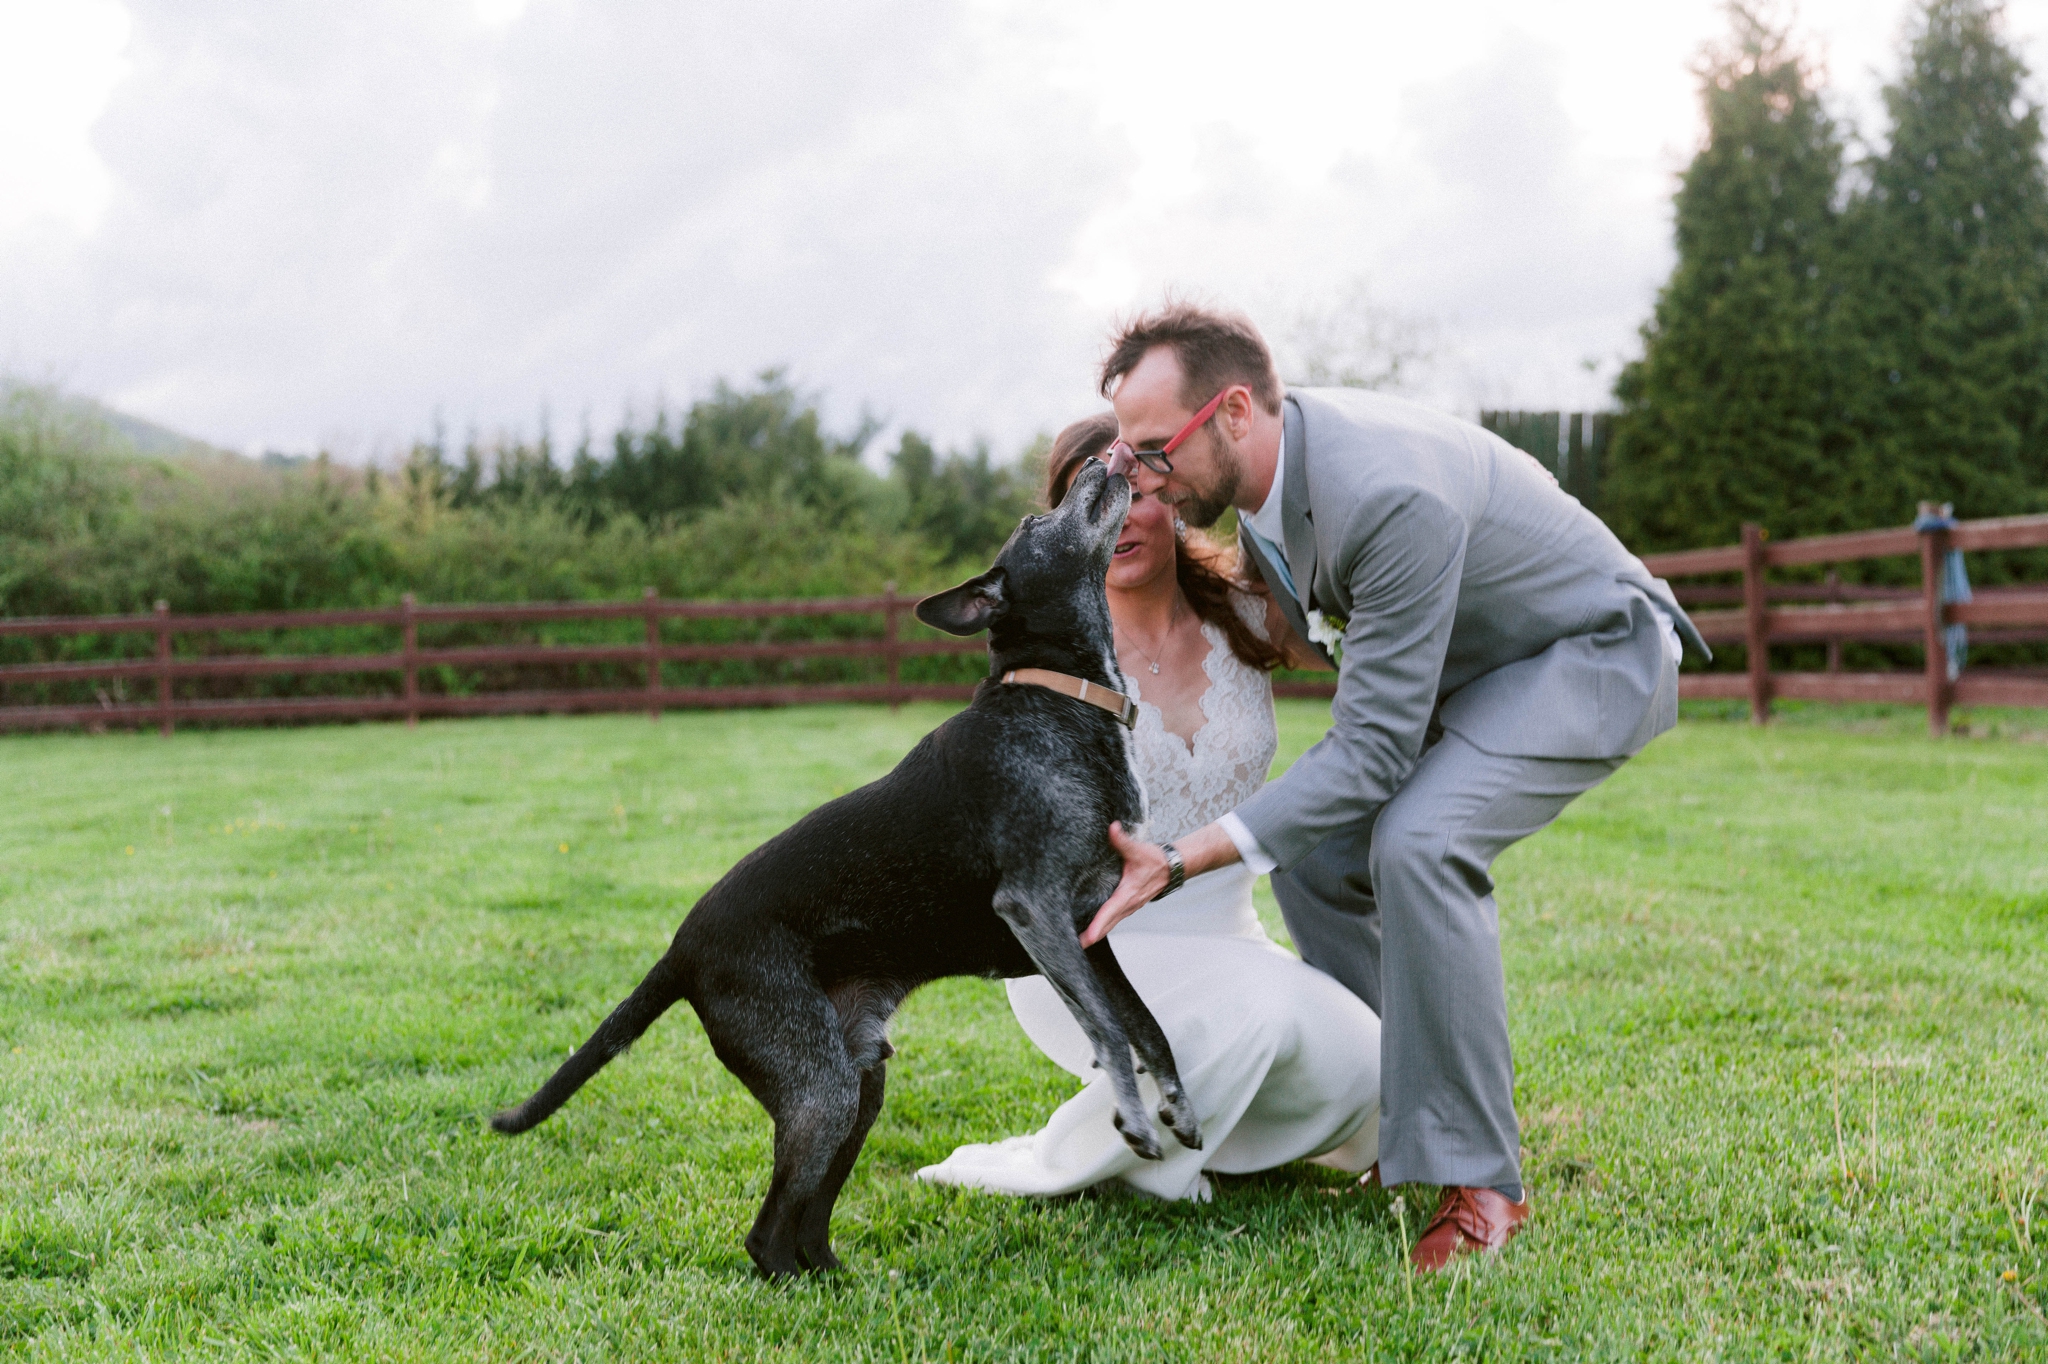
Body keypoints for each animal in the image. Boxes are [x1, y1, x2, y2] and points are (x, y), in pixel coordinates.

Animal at [491, 458, 1196, 1277]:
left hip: (860, 1078)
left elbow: (1147, 1025)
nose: (1100, 459)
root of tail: (680, 952)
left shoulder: (1089, 933)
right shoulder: (1035, 909)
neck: (1057, 697)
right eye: (1031, 522)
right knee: (767, 1233)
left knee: (805, 1221)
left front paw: (1179, 1108)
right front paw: (1136, 1121)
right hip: (821, 1087)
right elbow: (1110, 1029)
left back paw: (840, 1278)